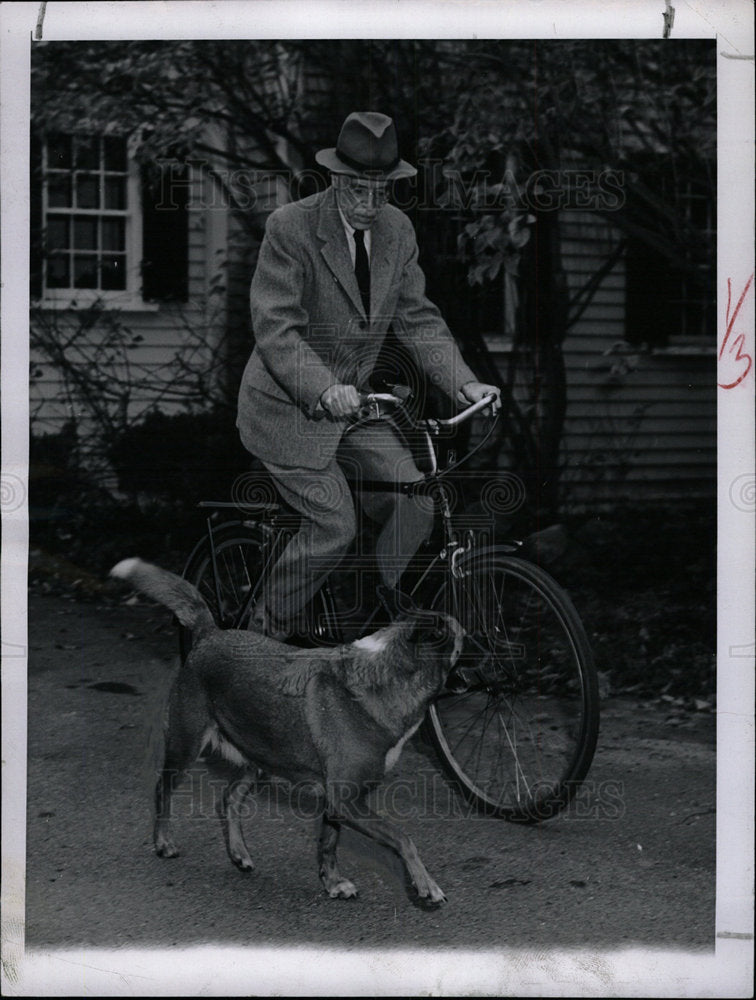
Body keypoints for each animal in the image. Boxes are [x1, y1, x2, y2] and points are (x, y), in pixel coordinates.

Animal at [112, 560, 464, 904]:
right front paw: (425, 884)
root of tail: (210, 633)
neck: (384, 675)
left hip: (256, 759)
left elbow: (328, 843)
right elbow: (403, 837)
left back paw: (239, 853)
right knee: (163, 789)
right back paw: (163, 842)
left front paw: (332, 882)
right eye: (466, 641)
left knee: (228, 800)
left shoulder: (336, 804)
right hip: (185, 746)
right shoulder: (346, 800)